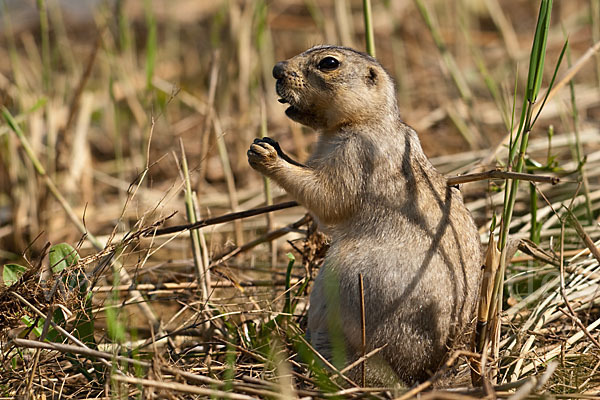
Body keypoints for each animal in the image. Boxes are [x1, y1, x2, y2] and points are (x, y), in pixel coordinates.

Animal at [246, 45, 480, 386]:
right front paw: (266, 143)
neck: (366, 122)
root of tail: (425, 373)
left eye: (329, 63)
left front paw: (266, 155)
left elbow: (327, 197)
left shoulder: (355, 156)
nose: (277, 69)